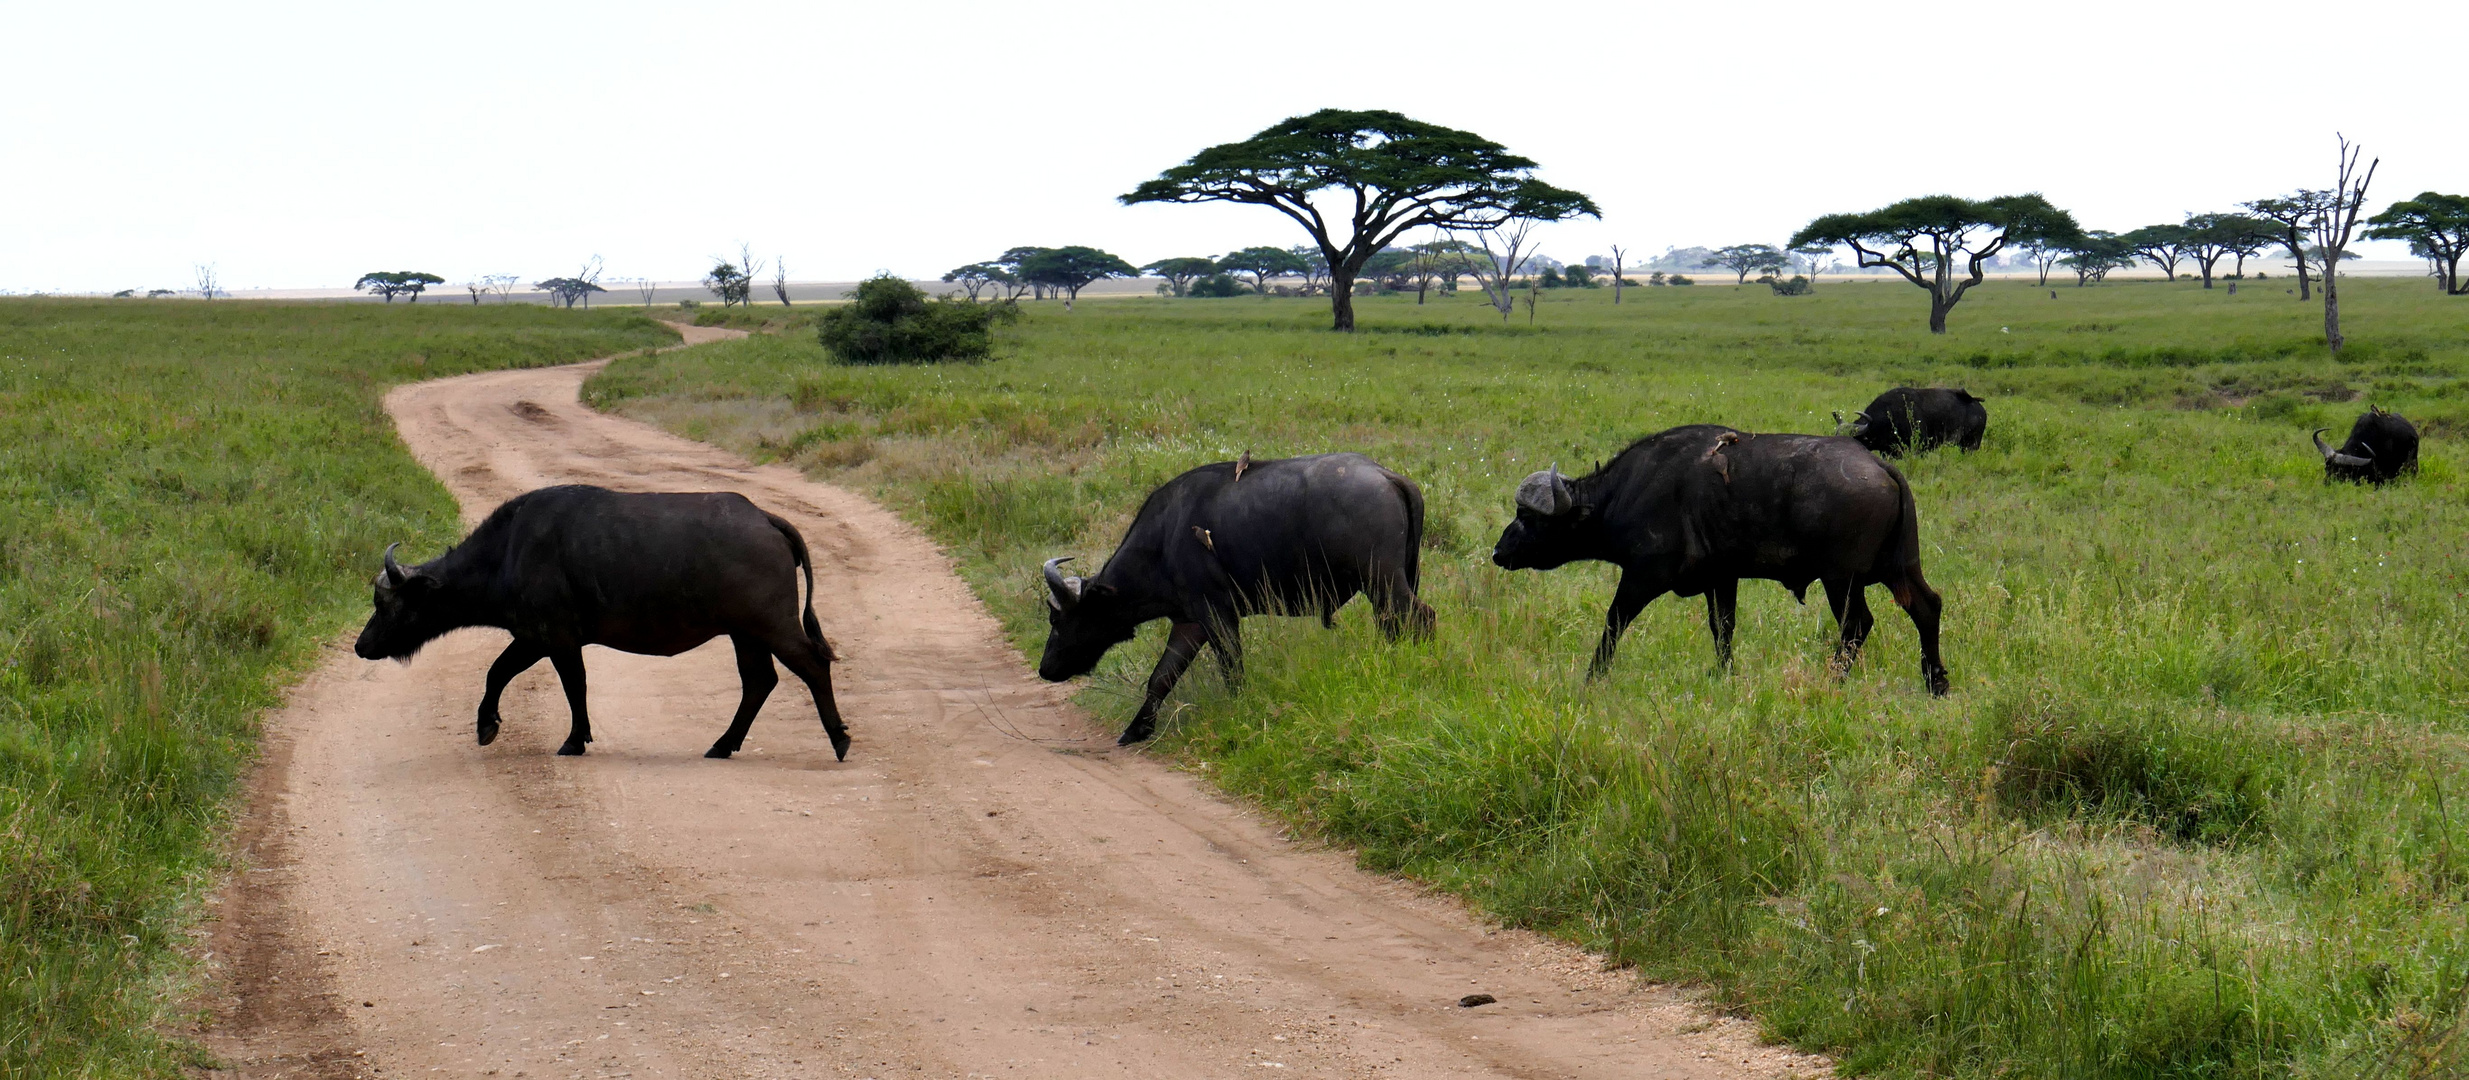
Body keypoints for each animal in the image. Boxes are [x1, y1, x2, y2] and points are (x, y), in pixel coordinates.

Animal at [348, 484, 849, 761]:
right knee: (759, 681)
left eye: (386, 604)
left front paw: (573, 739)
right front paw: (487, 725)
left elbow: (572, 685)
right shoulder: (533, 638)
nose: (361, 646)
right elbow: (498, 672)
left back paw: (839, 739)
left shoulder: (556, 638)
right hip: (745, 633)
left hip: (773, 625)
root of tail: (765, 518)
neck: (509, 552)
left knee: (811, 665)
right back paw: (723, 744)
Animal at [1036, 452, 1432, 741]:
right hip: (1392, 584)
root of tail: (1387, 475)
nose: (1045, 668)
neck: (1163, 541)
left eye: (1057, 619)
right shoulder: (1189, 623)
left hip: (1384, 582)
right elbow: (1161, 676)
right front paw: (1136, 729)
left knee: (1419, 618)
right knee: (1396, 624)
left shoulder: (1217, 615)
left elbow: (1232, 670)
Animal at [1481, 425, 1945, 696]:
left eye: (1527, 518)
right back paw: (1936, 681)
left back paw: (1834, 680)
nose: (1499, 552)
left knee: (1856, 626)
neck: (1627, 492)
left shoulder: (1642, 577)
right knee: (1927, 607)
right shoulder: (1722, 579)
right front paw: (1725, 675)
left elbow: (1613, 623)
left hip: (1841, 580)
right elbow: (1722, 629)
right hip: (1899, 568)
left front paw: (1593, 676)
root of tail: (1879, 466)